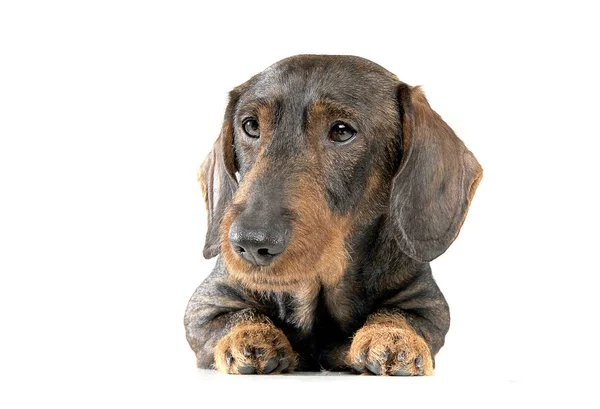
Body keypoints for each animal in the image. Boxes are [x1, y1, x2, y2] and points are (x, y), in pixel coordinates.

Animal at [183, 55, 482, 376]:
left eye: (341, 131)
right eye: (250, 126)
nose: (250, 243)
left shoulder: (429, 304)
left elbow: (401, 314)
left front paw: (393, 336)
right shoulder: (205, 304)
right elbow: (234, 316)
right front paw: (250, 336)